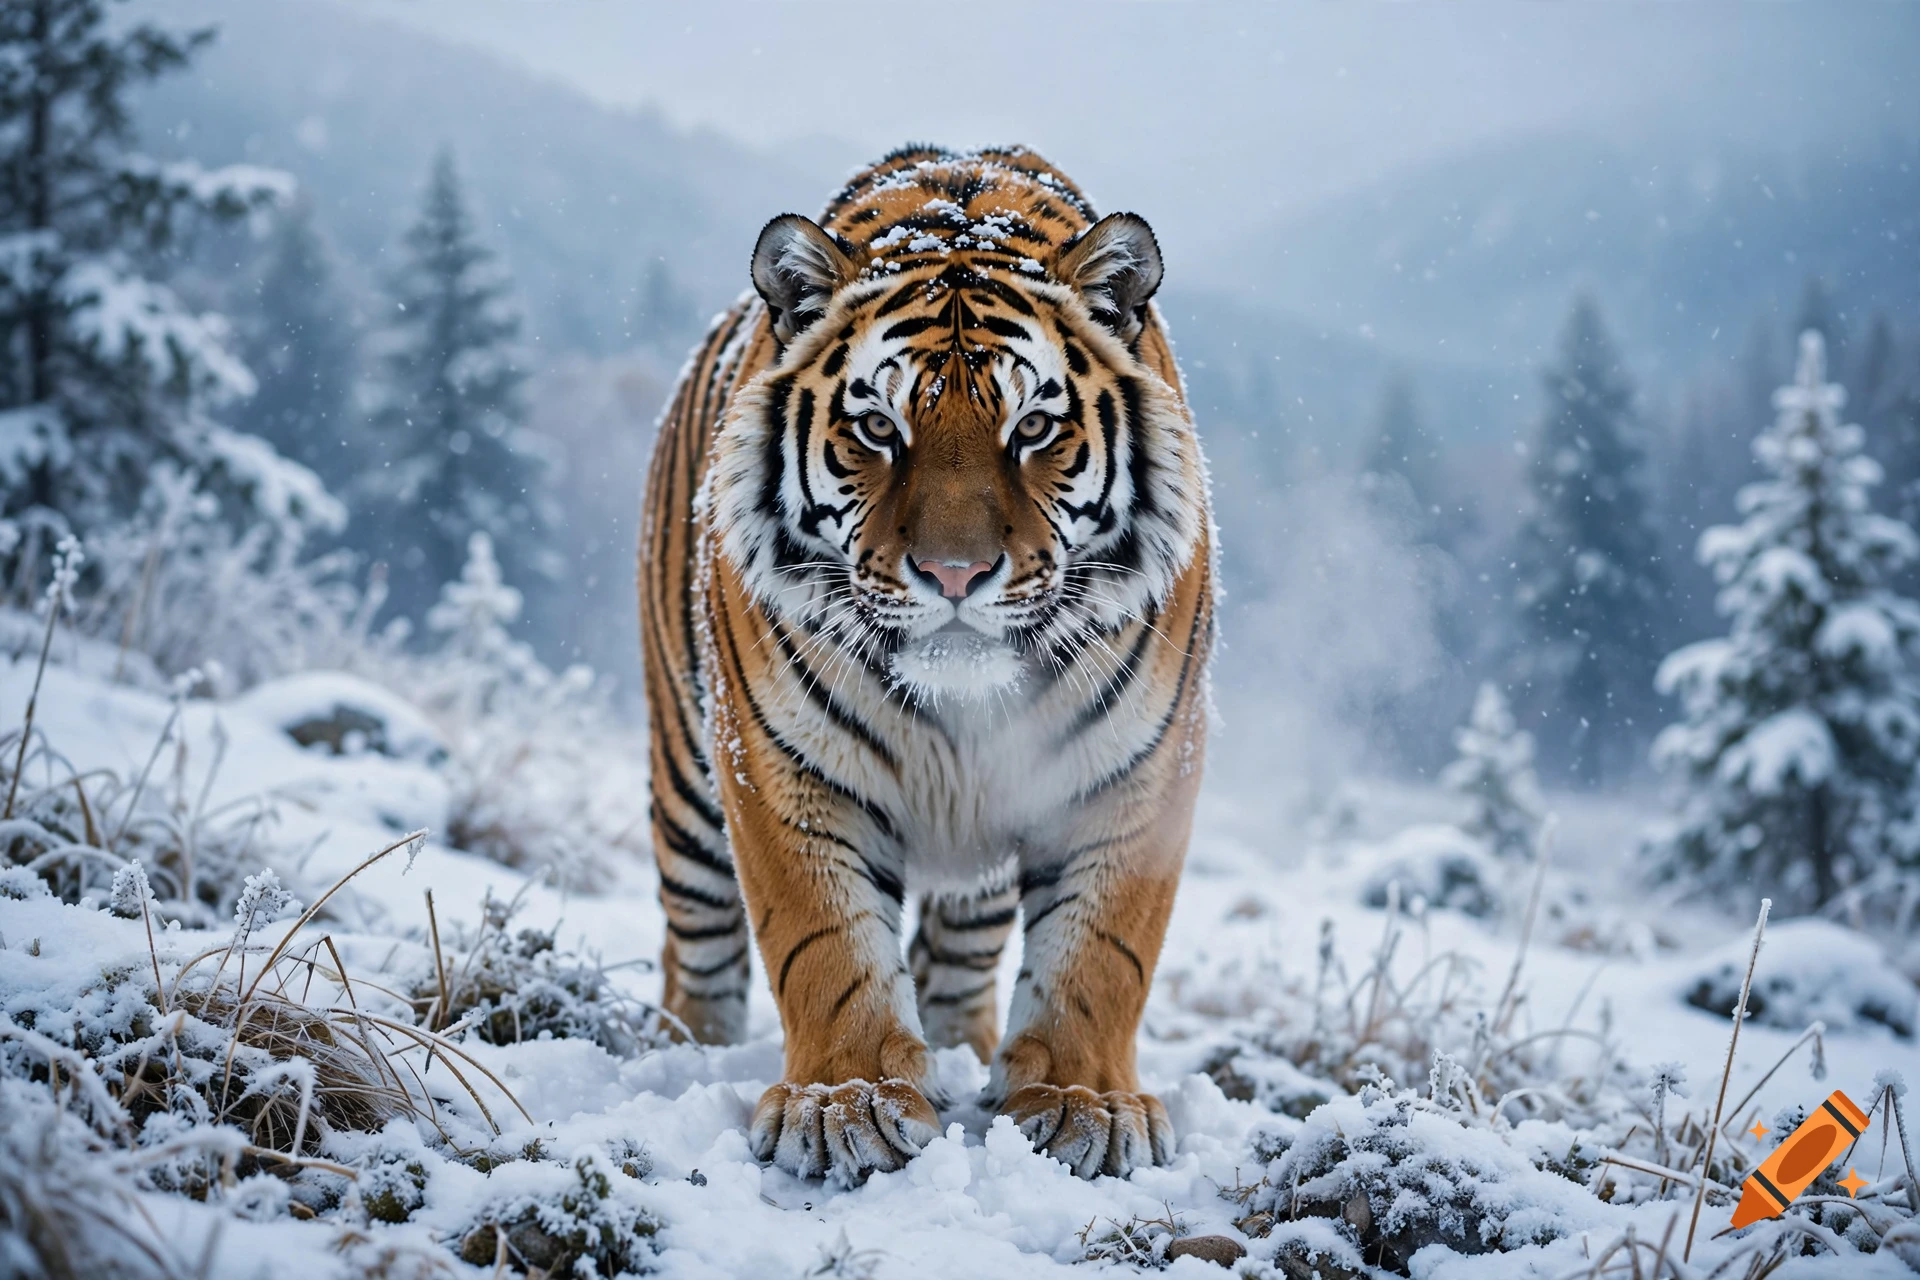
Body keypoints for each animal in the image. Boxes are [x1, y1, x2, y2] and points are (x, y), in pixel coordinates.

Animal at [638, 145, 1215, 1186]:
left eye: (1032, 430)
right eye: (878, 429)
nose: (955, 573)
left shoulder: (1139, 772)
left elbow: (1102, 951)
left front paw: (1085, 1102)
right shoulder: (782, 765)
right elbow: (823, 940)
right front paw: (847, 1102)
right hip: (686, 780)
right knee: (696, 947)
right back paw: (686, 1053)